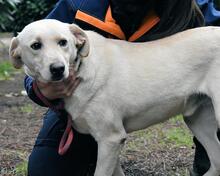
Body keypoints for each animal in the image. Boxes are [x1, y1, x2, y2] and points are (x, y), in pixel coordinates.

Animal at [9, 18, 220, 175]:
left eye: (63, 42)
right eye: (36, 45)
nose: (58, 69)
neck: (82, 68)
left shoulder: (110, 139)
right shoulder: (110, 143)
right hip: (197, 121)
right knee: (217, 161)